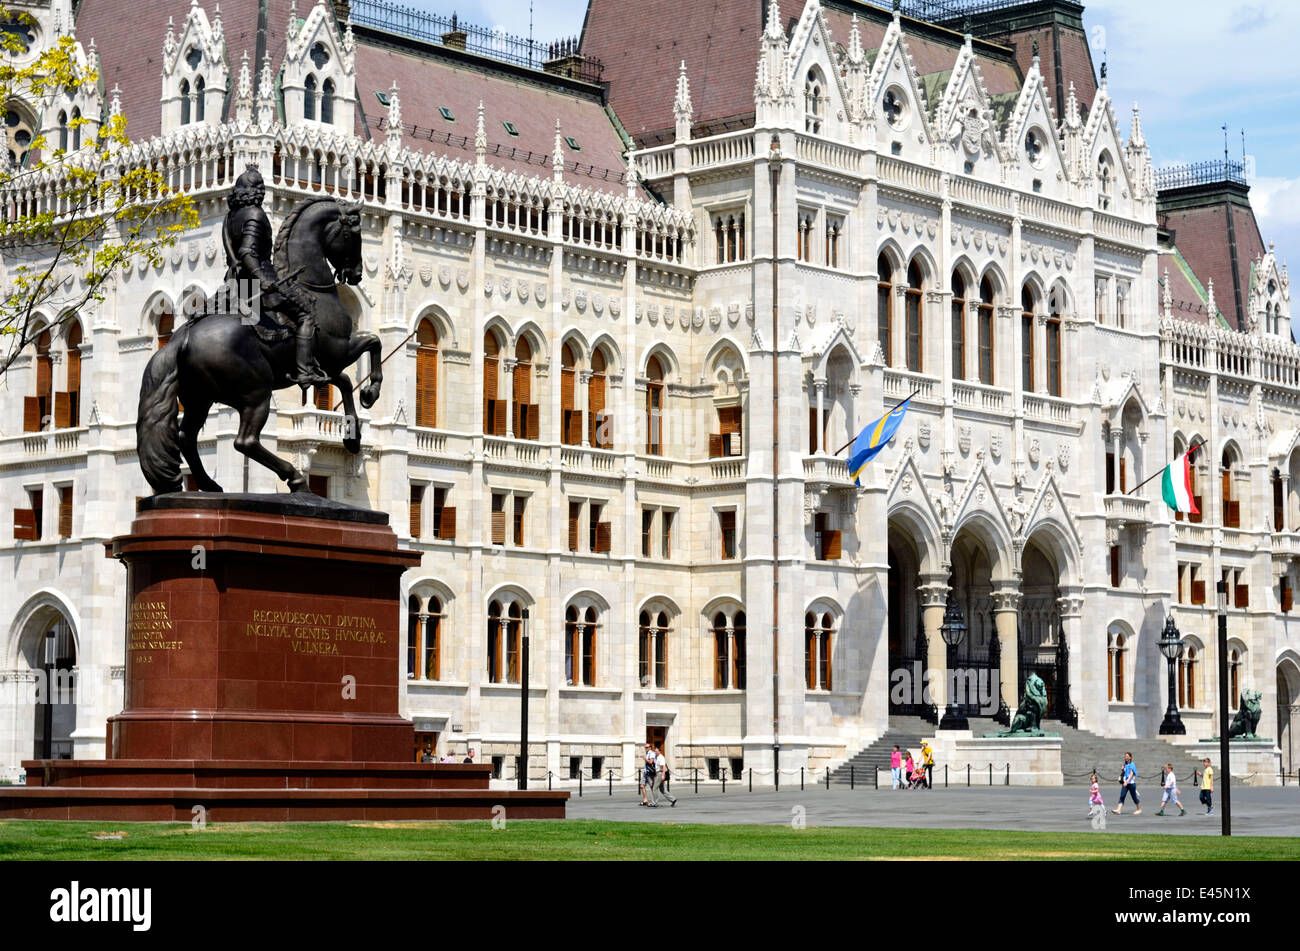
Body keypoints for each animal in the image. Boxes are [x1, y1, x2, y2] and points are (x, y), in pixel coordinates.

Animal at [138, 200, 379, 498]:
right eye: (353, 234)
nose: (356, 274)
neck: (309, 286)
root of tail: (181, 338)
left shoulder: (325, 365)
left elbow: (345, 381)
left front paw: (353, 436)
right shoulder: (337, 352)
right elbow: (373, 344)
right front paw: (370, 393)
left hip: (200, 399)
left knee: (186, 438)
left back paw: (209, 485)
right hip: (256, 394)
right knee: (245, 442)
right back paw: (295, 479)